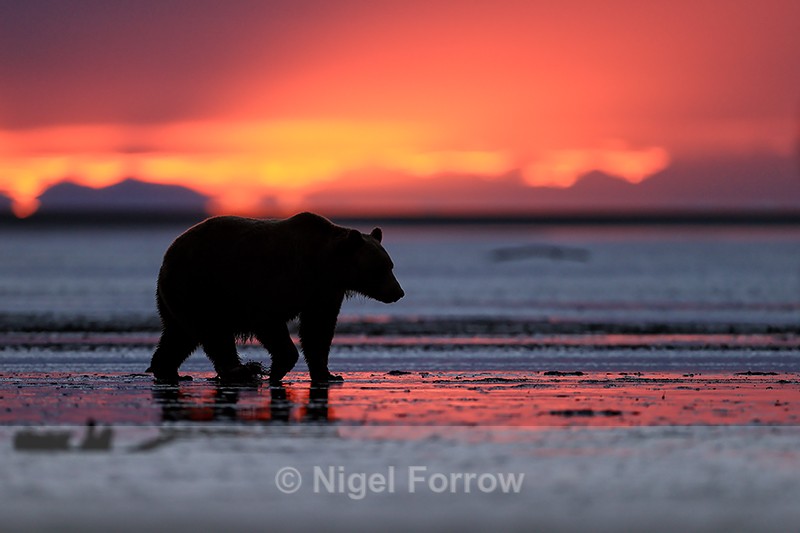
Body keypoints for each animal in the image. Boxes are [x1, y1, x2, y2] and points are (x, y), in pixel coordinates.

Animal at [145, 212, 404, 384]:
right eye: (379, 269)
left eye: (390, 265)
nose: (398, 292)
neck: (324, 265)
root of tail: (169, 254)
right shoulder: (278, 279)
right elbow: (269, 320)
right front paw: (278, 367)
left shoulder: (324, 292)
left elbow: (318, 329)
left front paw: (328, 374)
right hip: (200, 285)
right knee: (213, 331)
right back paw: (239, 371)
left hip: (180, 295)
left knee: (179, 334)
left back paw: (169, 370)